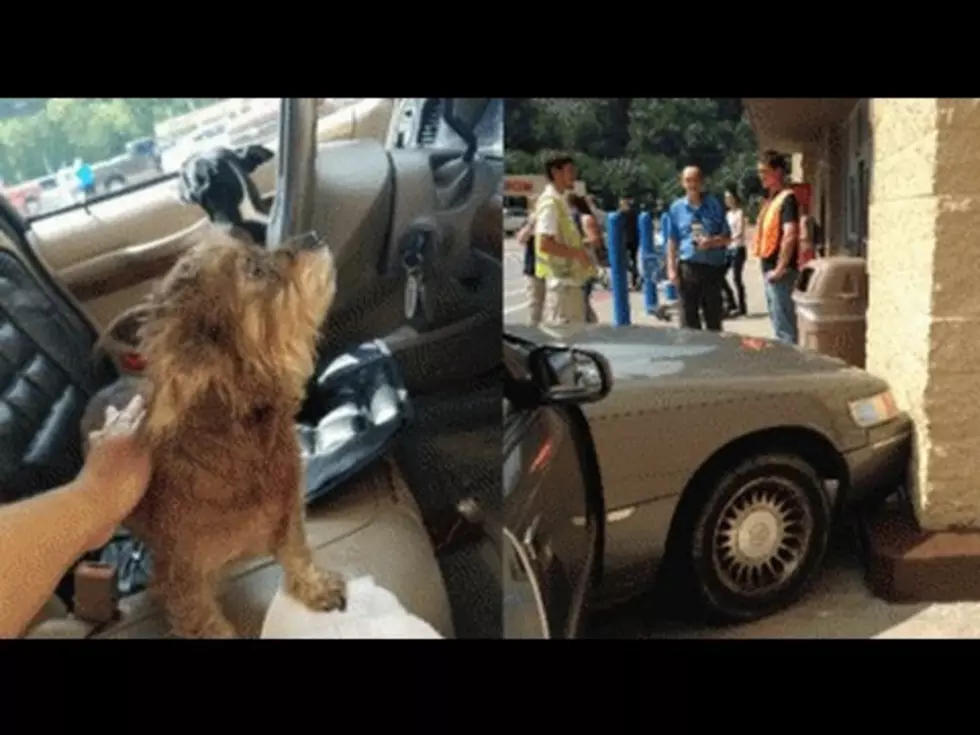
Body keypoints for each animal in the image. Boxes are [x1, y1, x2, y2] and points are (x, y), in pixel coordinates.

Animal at [83, 230, 348, 640]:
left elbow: (296, 553)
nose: (314, 236)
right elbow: (207, 623)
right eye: (254, 270)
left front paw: (314, 586)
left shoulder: (288, 516)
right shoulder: (184, 582)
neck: (245, 440)